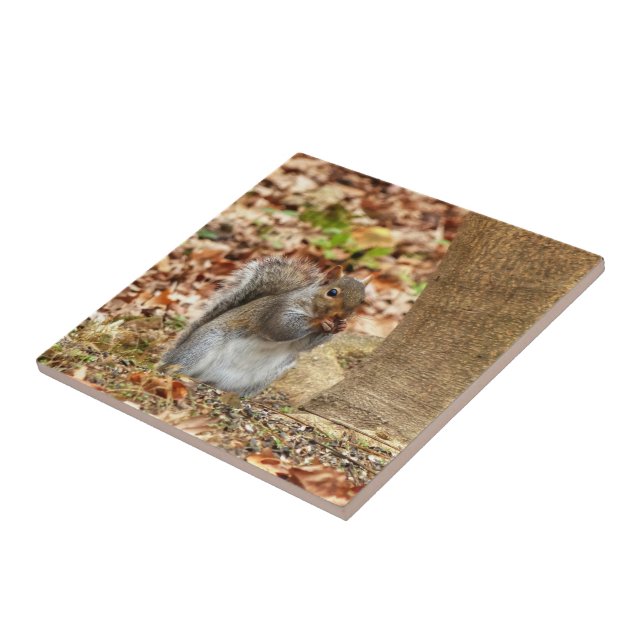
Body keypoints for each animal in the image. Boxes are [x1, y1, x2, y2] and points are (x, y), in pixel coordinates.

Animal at [160, 256, 369, 396]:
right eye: (332, 292)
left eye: (361, 301)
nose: (343, 315)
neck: (311, 306)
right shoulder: (276, 311)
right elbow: (281, 328)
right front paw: (319, 322)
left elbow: (304, 345)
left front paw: (340, 327)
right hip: (203, 344)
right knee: (176, 365)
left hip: (264, 377)